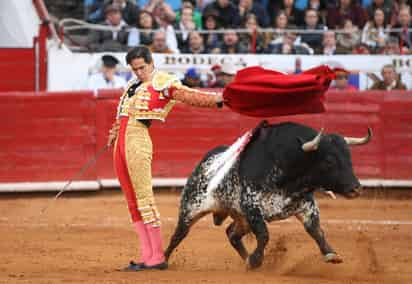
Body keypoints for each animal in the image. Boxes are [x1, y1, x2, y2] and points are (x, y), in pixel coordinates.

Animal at [165, 121, 374, 270]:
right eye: (329, 161)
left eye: (349, 158)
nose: (356, 189)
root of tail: (206, 159)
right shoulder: (252, 206)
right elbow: (264, 234)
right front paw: (256, 260)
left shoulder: (306, 206)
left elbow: (316, 231)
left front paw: (331, 254)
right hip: (192, 207)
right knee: (179, 234)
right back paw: (162, 261)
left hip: (241, 218)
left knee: (232, 234)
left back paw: (245, 259)